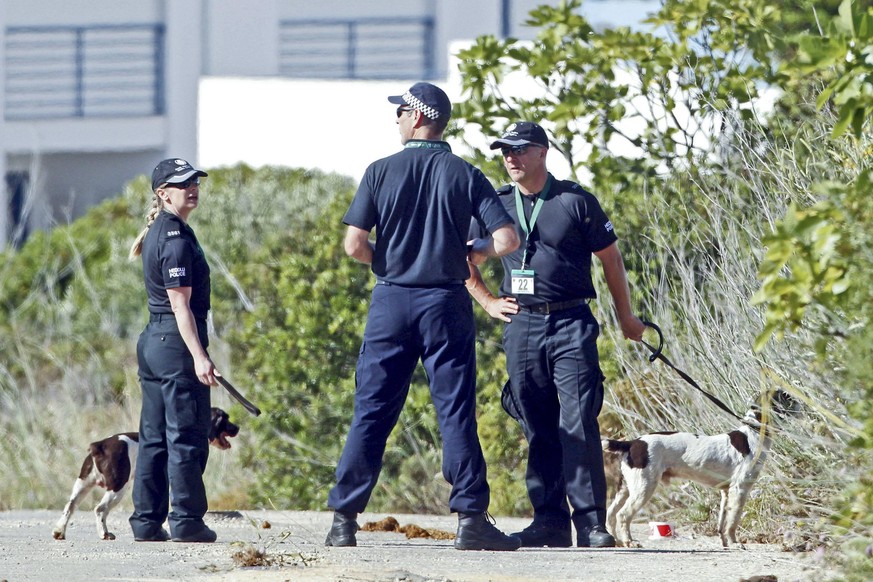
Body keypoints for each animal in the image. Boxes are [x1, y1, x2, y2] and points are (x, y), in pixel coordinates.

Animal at [54, 408, 238, 540]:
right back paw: (105, 534)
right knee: (100, 509)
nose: (238, 427)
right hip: (118, 487)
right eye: (226, 419)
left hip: (83, 484)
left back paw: (59, 532)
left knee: (70, 506)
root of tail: (100, 445)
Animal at [604, 392, 792, 552]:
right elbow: (733, 521)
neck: (753, 432)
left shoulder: (726, 492)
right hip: (644, 487)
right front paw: (735, 543)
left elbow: (722, 523)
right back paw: (629, 541)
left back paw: (616, 541)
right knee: (623, 515)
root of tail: (631, 443)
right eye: (785, 396)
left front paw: (726, 544)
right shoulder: (739, 489)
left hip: (626, 488)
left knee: (611, 513)